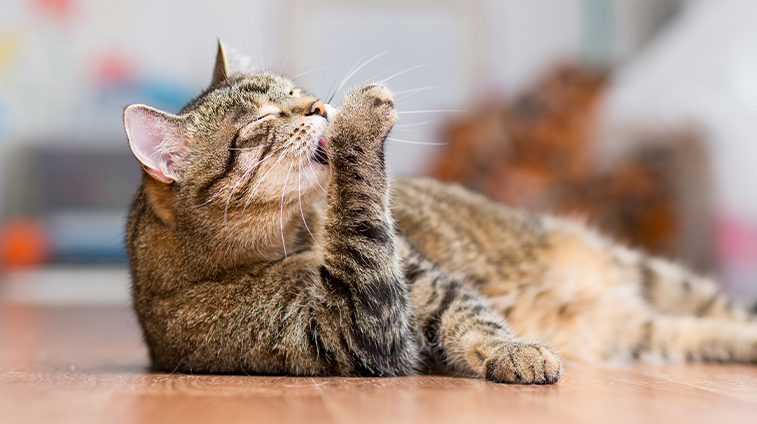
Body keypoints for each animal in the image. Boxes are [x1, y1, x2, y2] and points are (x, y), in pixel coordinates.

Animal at [121, 42, 752, 384]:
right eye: (261, 121)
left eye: (295, 92)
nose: (321, 106)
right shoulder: (354, 328)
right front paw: (358, 126)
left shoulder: (421, 277)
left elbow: (472, 316)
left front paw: (513, 351)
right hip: (651, 331)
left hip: (652, 277)